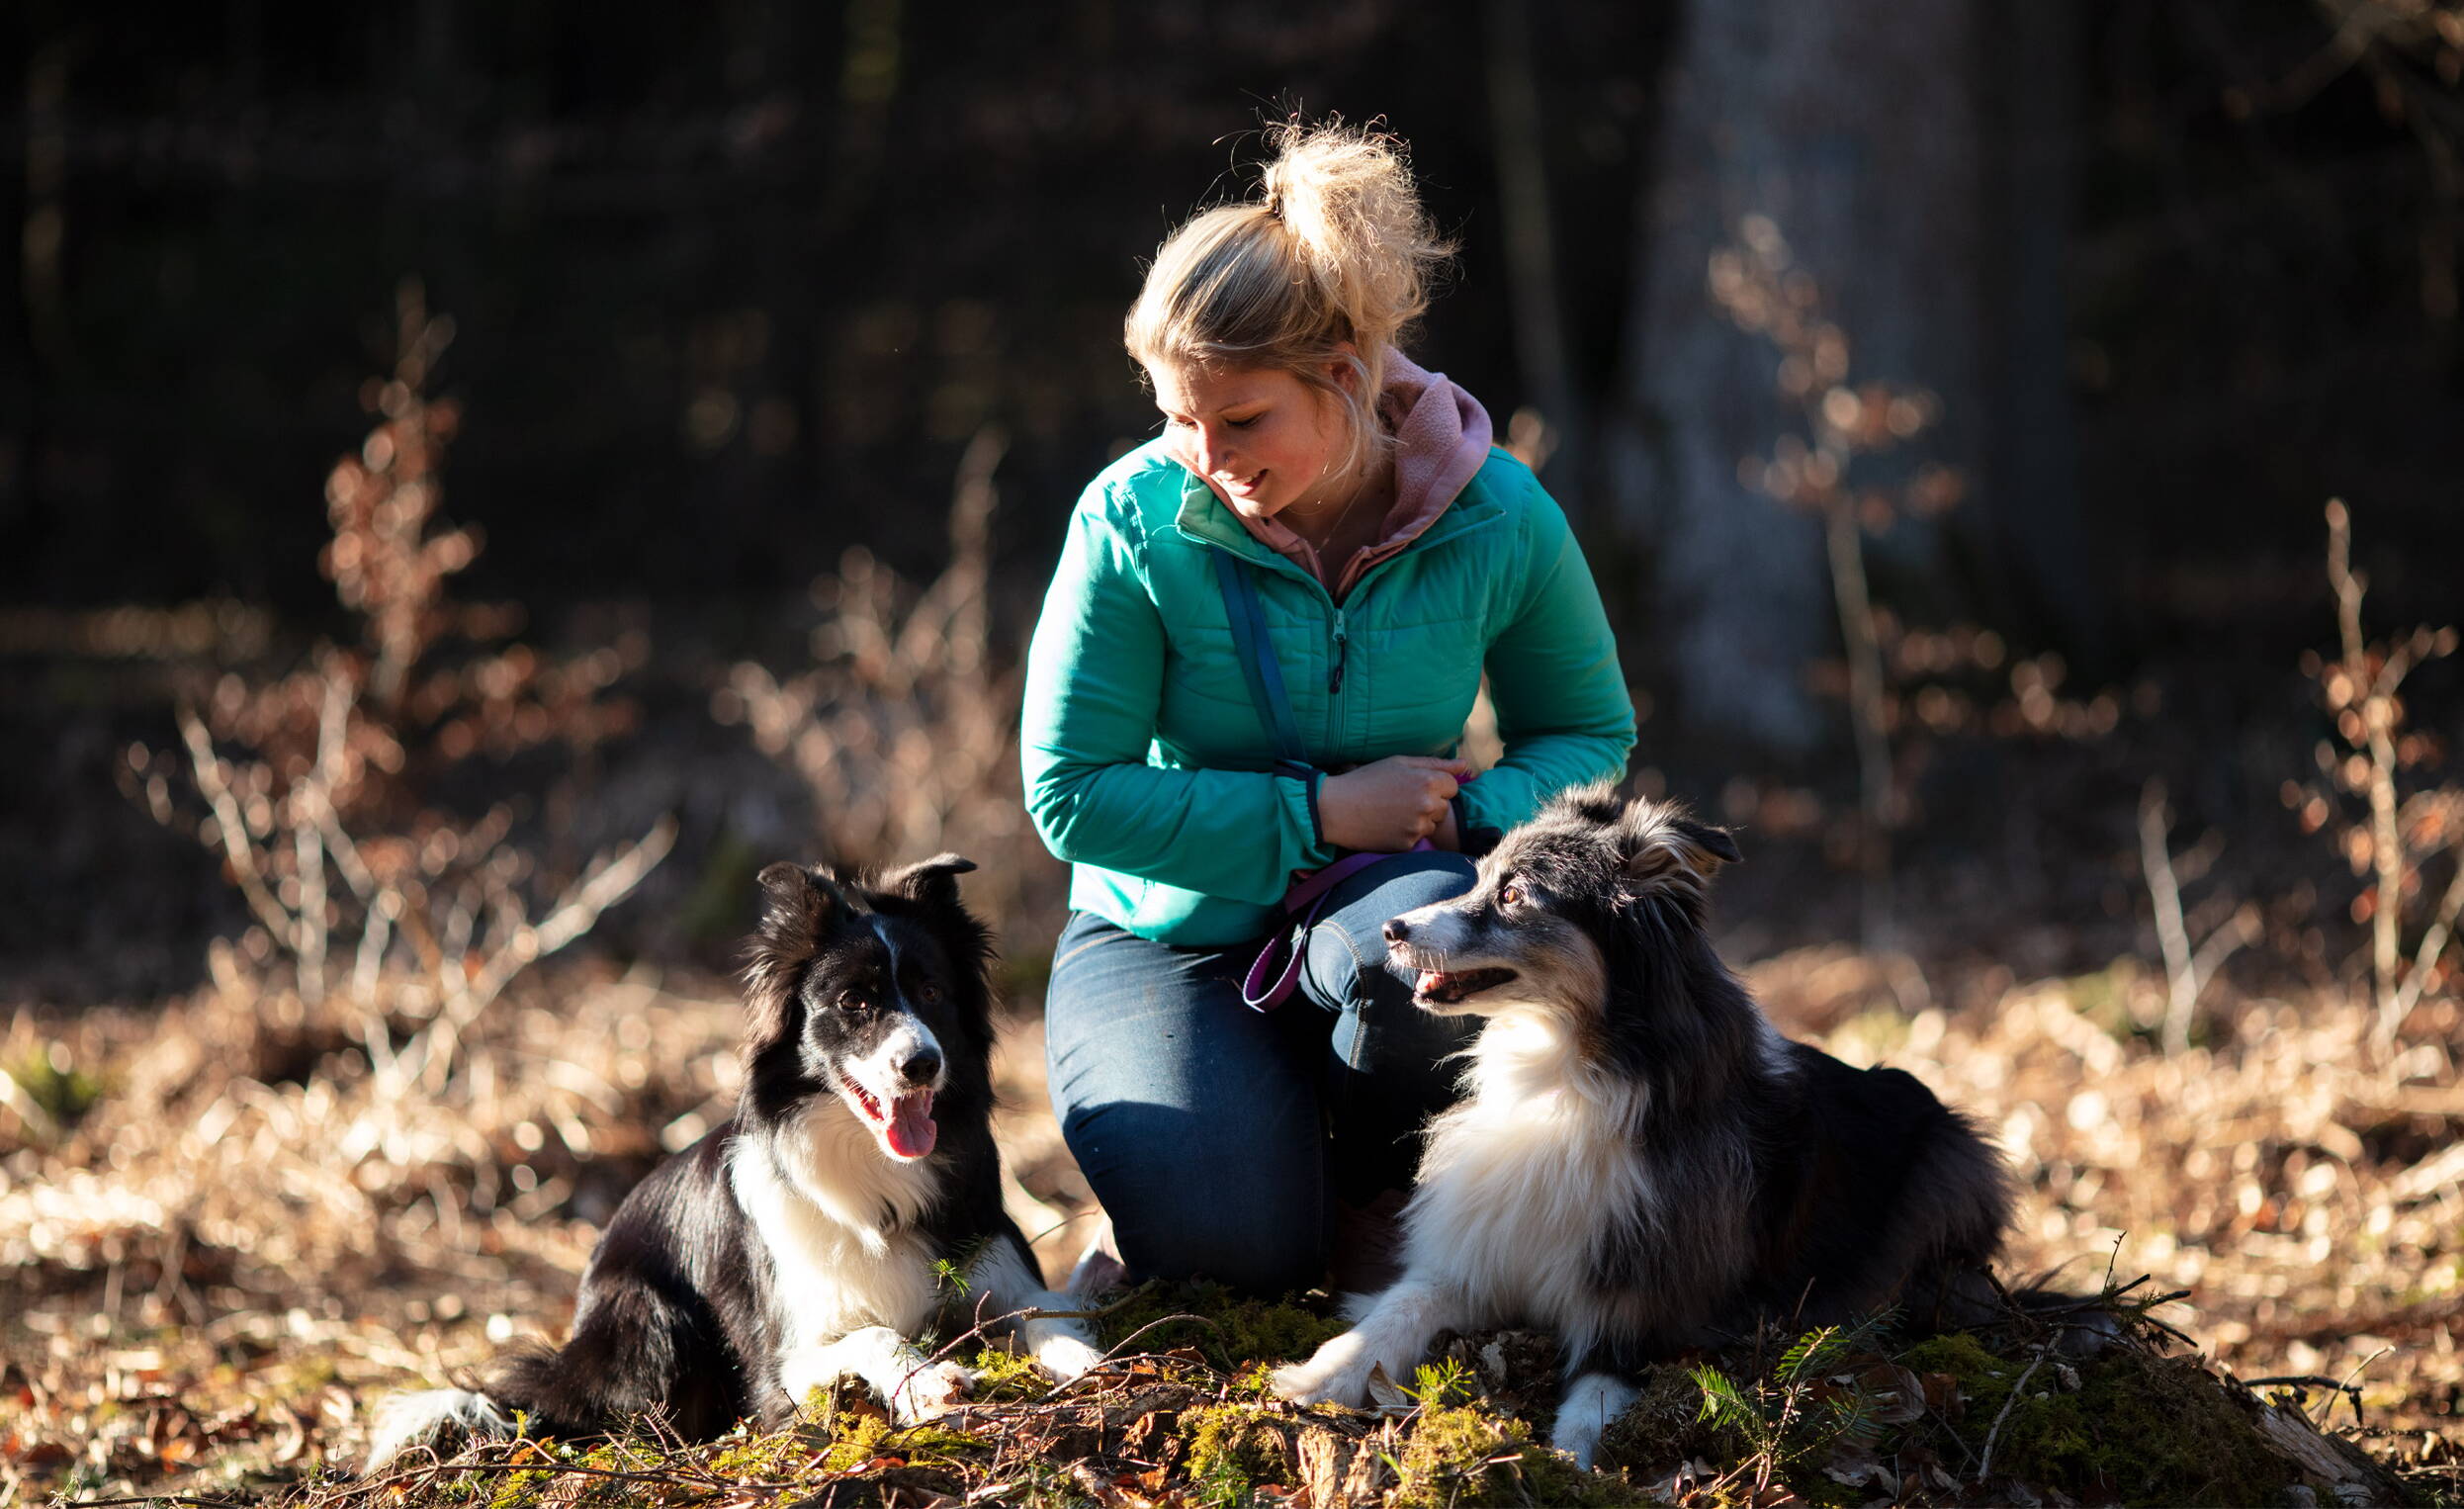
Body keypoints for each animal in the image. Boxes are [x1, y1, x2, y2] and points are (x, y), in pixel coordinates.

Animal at [364, 862, 1099, 1469]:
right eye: (854, 1003)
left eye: (933, 992)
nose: (922, 1064)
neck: (872, 1165)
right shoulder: (783, 1367)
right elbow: (874, 1333)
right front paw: (928, 1380)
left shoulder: (997, 1267)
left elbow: (1045, 1313)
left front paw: (1083, 1355)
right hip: (651, 1323)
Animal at [1280, 793, 2010, 1469]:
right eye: (1479, 877)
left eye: (1514, 895)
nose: (1390, 928)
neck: (1569, 1075)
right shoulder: (1486, 1246)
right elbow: (1399, 1308)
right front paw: (1315, 1376)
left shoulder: (1653, 1308)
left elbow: (1591, 1405)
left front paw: (1568, 1468)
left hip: (1944, 1174)